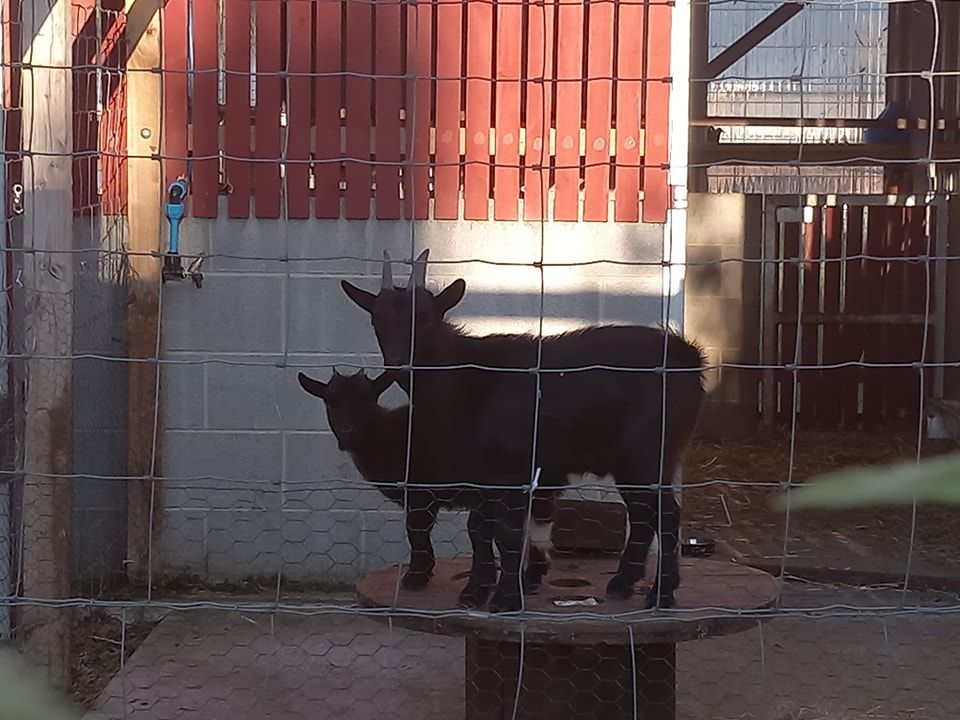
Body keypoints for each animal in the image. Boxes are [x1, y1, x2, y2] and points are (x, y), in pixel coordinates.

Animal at [297, 369, 555, 604]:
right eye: (330, 403)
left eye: (367, 400)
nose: (348, 433)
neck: (388, 435)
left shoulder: (421, 493)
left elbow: (416, 528)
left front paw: (416, 576)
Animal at [340, 250, 706, 613]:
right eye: (376, 321)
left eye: (425, 317)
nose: (398, 363)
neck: (466, 381)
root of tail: (688, 356)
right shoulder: (484, 477)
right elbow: (481, 530)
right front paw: (479, 591)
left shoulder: (511, 472)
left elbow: (507, 534)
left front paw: (504, 597)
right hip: (628, 464)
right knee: (643, 515)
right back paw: (623, 583)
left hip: (648, 455)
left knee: (666, 515)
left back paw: (662, 593)